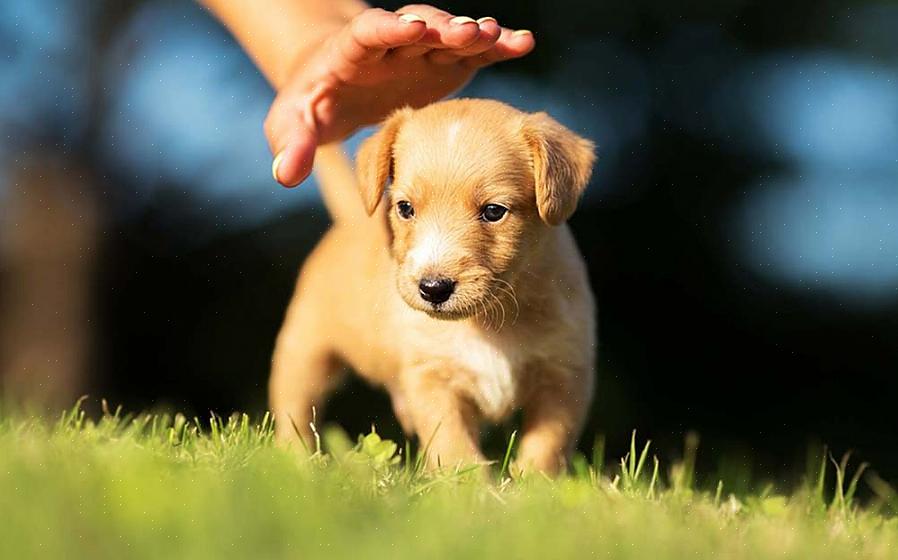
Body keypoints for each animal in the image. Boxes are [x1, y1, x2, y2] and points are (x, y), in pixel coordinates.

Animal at [270, 97, 600, 472]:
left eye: (494, 211)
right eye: (405, 208)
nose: (433, 288)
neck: (490, 323)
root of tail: (351, 219)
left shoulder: (564, 377)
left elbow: (546, 447)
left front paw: (533, 484)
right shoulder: (433, 381)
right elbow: (455, 448)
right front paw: (471, 484)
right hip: (304, 349)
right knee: (295, 410)